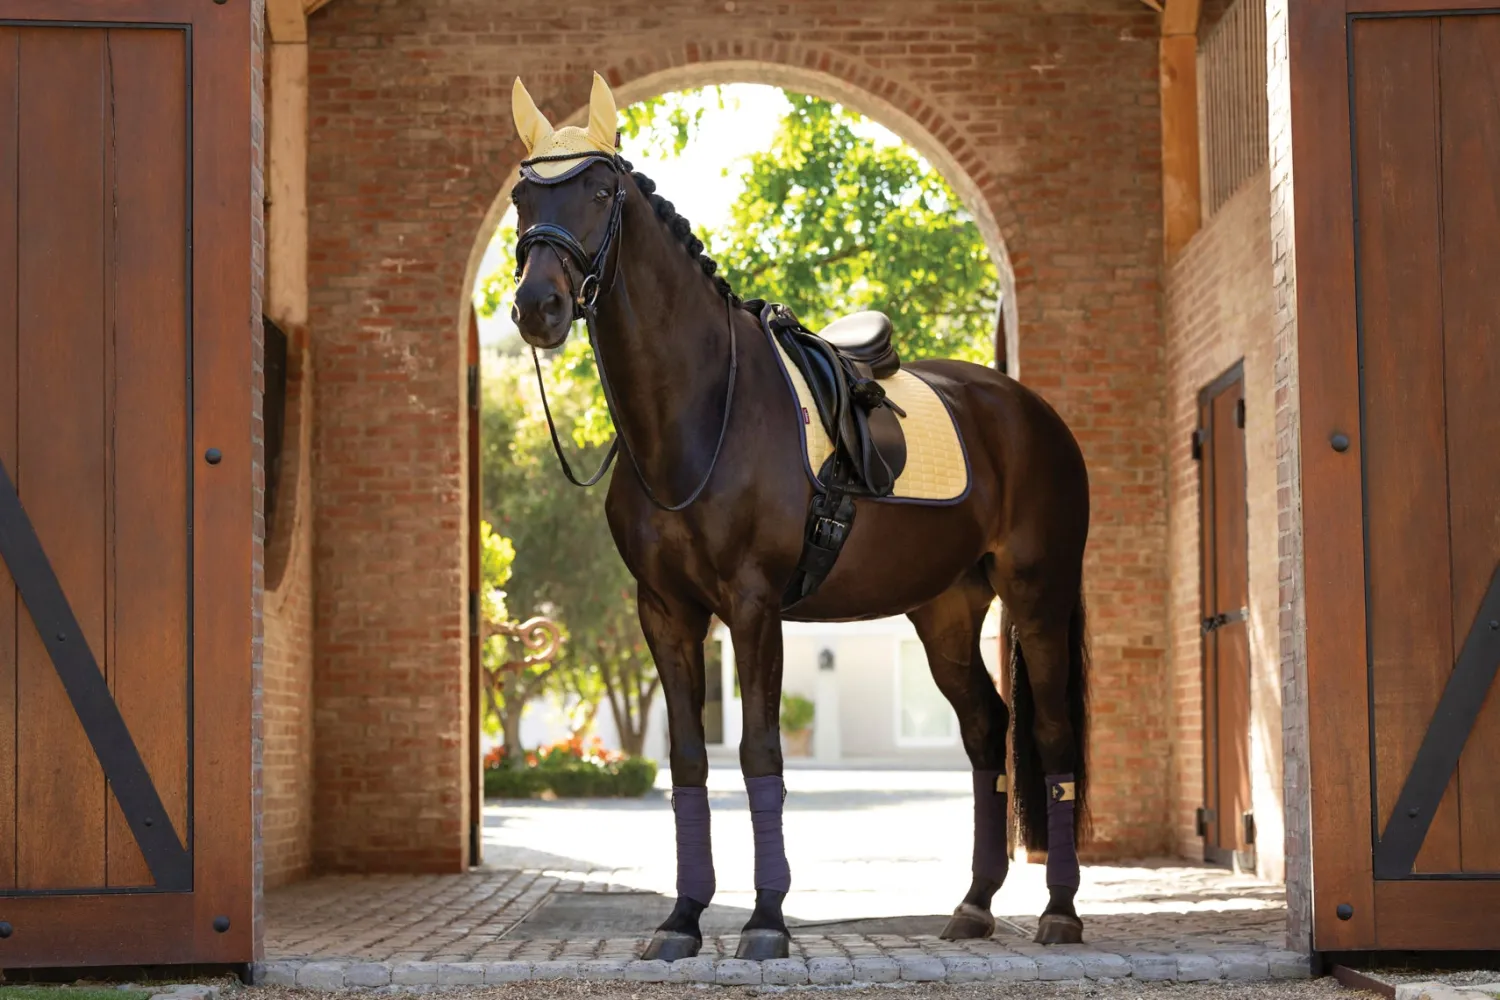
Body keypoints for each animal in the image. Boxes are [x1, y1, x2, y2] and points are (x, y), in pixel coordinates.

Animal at [506, 73, 1092, 960]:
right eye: (521, 195)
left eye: (601, 191)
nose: (537, 306)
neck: (700, 412)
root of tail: (1033, 413)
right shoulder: (665, 611)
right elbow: (687, 759)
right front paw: (682, 919)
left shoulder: (753, 608)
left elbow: (759, 752)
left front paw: (766, 921)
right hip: (947, 611)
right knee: (986, 729)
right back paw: (974, 905)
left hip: (1038, 596)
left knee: (1052, 734)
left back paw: (1058, 911)